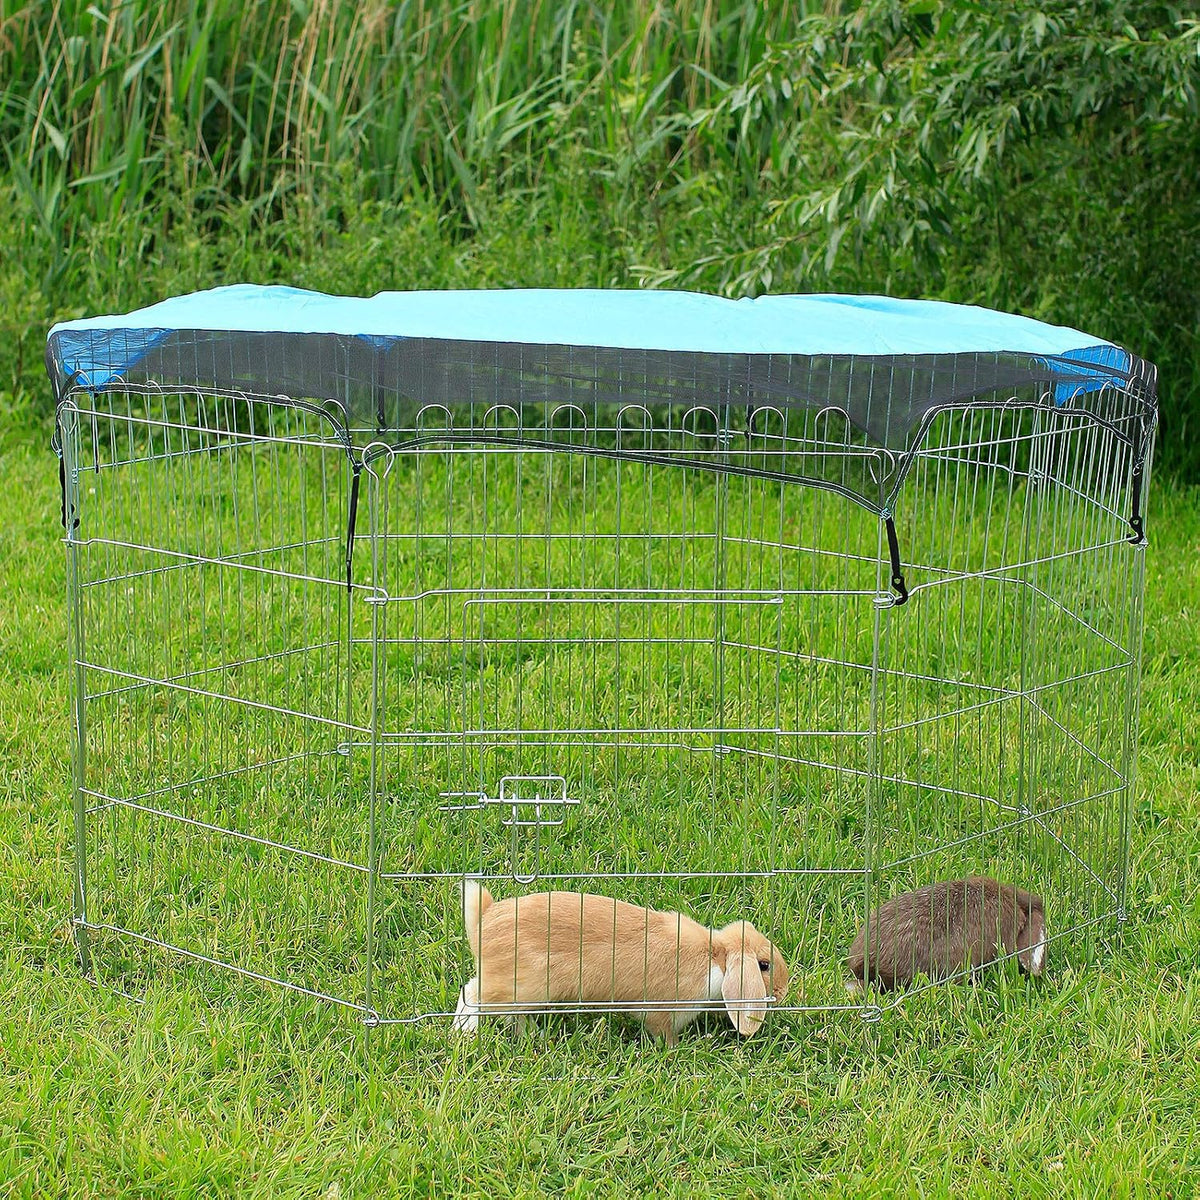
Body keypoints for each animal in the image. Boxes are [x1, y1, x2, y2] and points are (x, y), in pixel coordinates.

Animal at [452, 880, 790, 1045]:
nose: (783, 993)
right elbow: (664, 1034)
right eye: (764, 965)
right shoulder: (664, 1011)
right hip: (518, 987)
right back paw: (465, 1032)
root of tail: (484, 920)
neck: (715, 958)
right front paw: (675, 1050)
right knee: (472, 994)